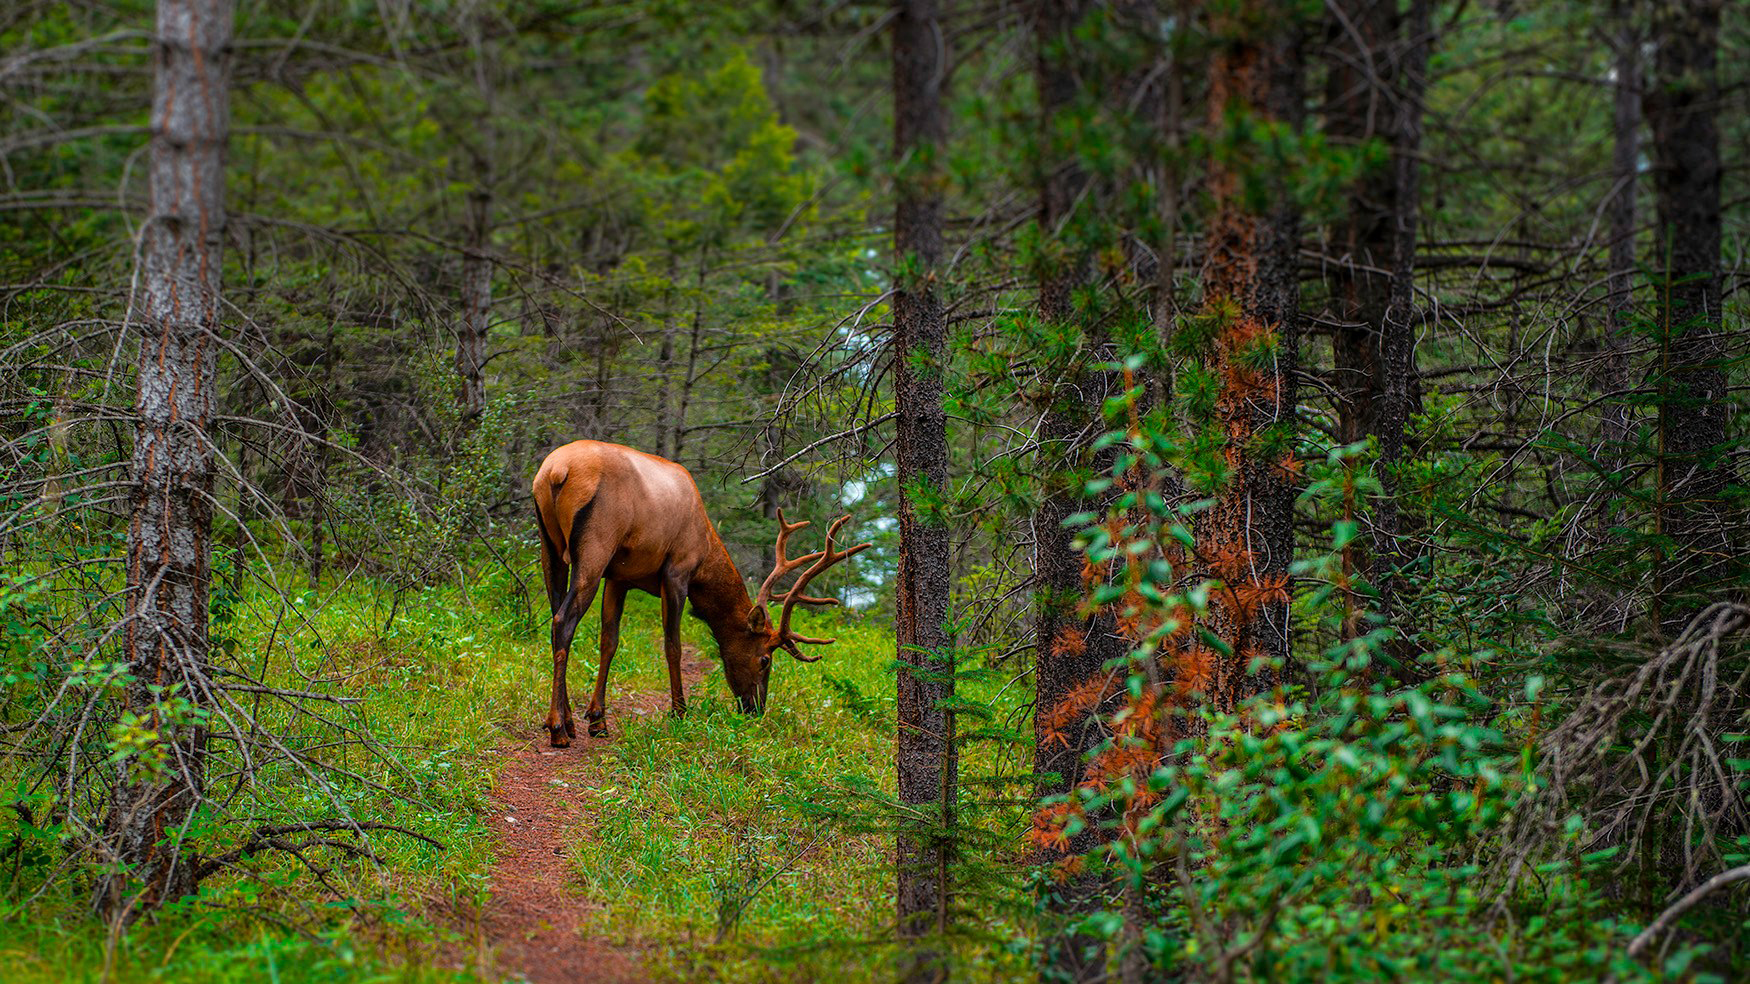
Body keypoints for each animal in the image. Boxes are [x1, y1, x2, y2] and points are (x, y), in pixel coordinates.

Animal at [525, 435, 868, 742]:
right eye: (765, 660)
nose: (755, 709)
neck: (705, 555)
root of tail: (556, 471)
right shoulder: (677, 572)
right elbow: (672, 645)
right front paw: (680, 711)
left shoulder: (619, 577)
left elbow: (609, 641)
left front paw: (598, 719)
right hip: (595, 546)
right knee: (563, 621)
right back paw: (557, 728)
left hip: (550, 547)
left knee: (555, 617)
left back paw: (567, 721)